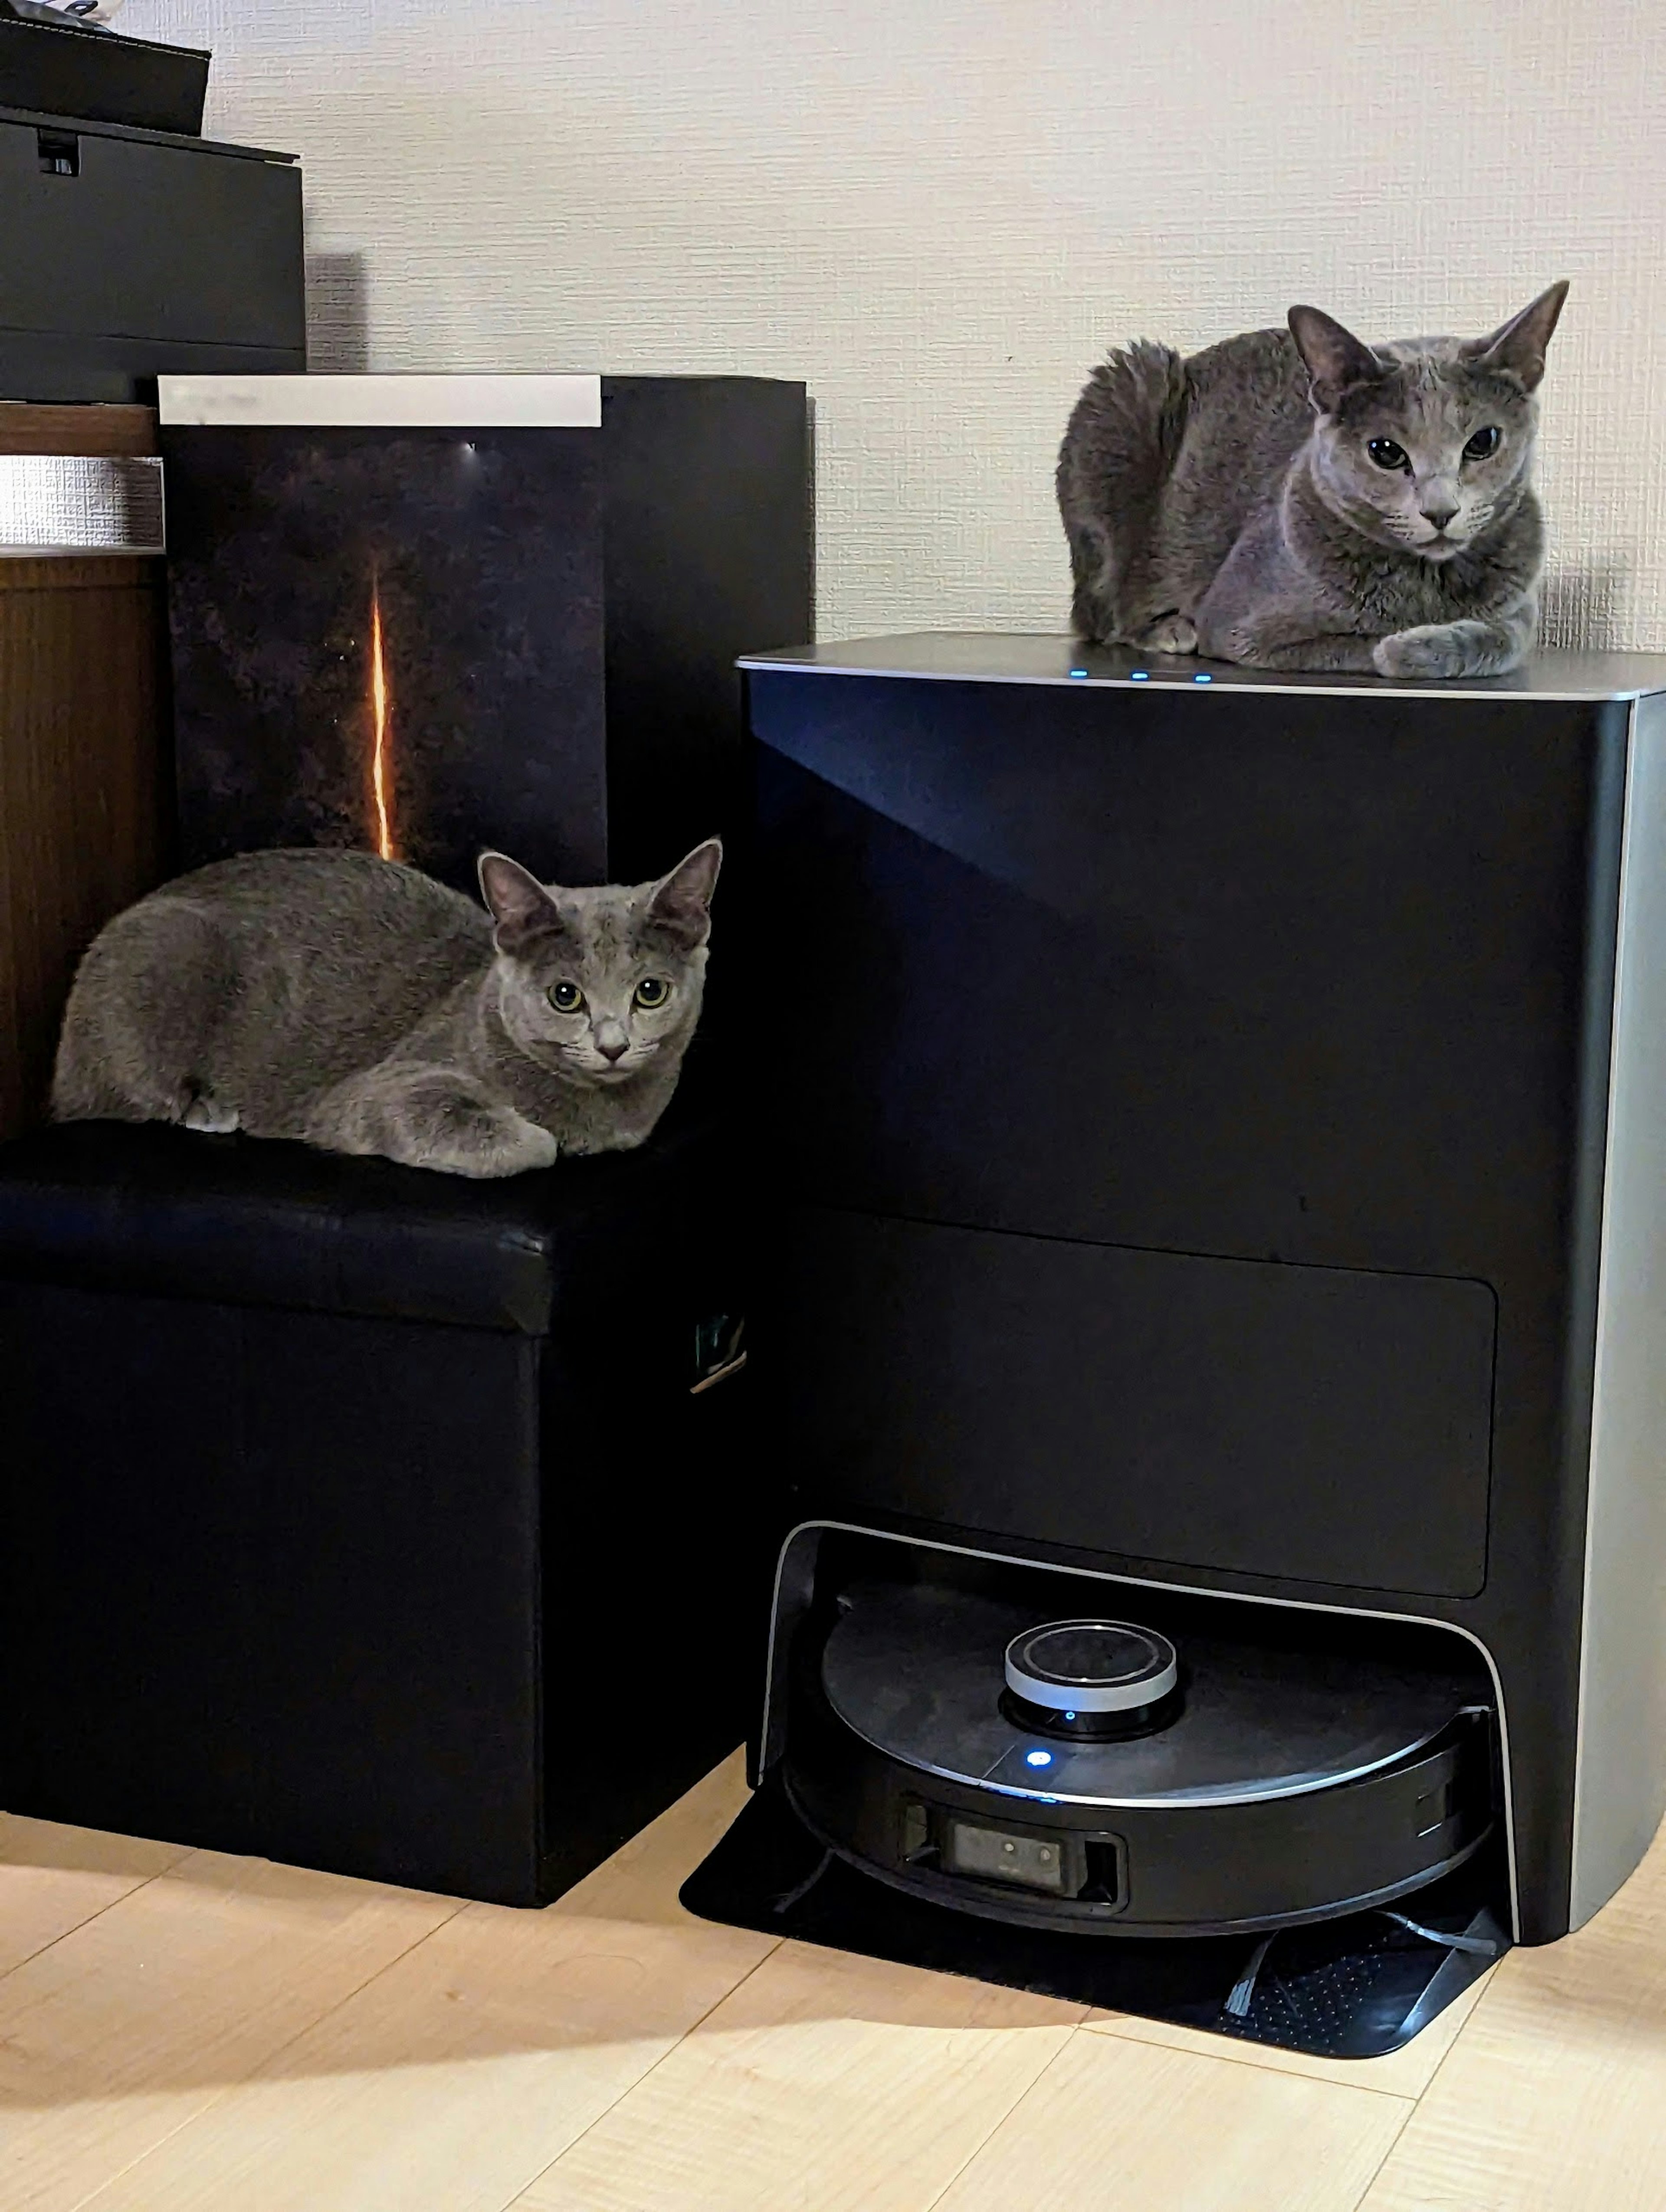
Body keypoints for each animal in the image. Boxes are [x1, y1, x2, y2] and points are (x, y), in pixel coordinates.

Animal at [50, 836, 717, 1176]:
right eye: (566, 996)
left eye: (650, 991)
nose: (613, 1044)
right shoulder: (378, 1090)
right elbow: (525, 1141)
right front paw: (539, 1133)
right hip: (166, 951)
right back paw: (207, 1108)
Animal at [1057, 285, 1566, 681]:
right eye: (1386, 452)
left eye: (1483, 442)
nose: (1441, 512)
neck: (1429, 582)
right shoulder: (1242, 630)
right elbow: (1355, 644)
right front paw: (1403, 648)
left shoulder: (1522, 610)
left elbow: (1508, 640)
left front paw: (1434, 645)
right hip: (1131, 393)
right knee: (1104, 614)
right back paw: (1169, 628)